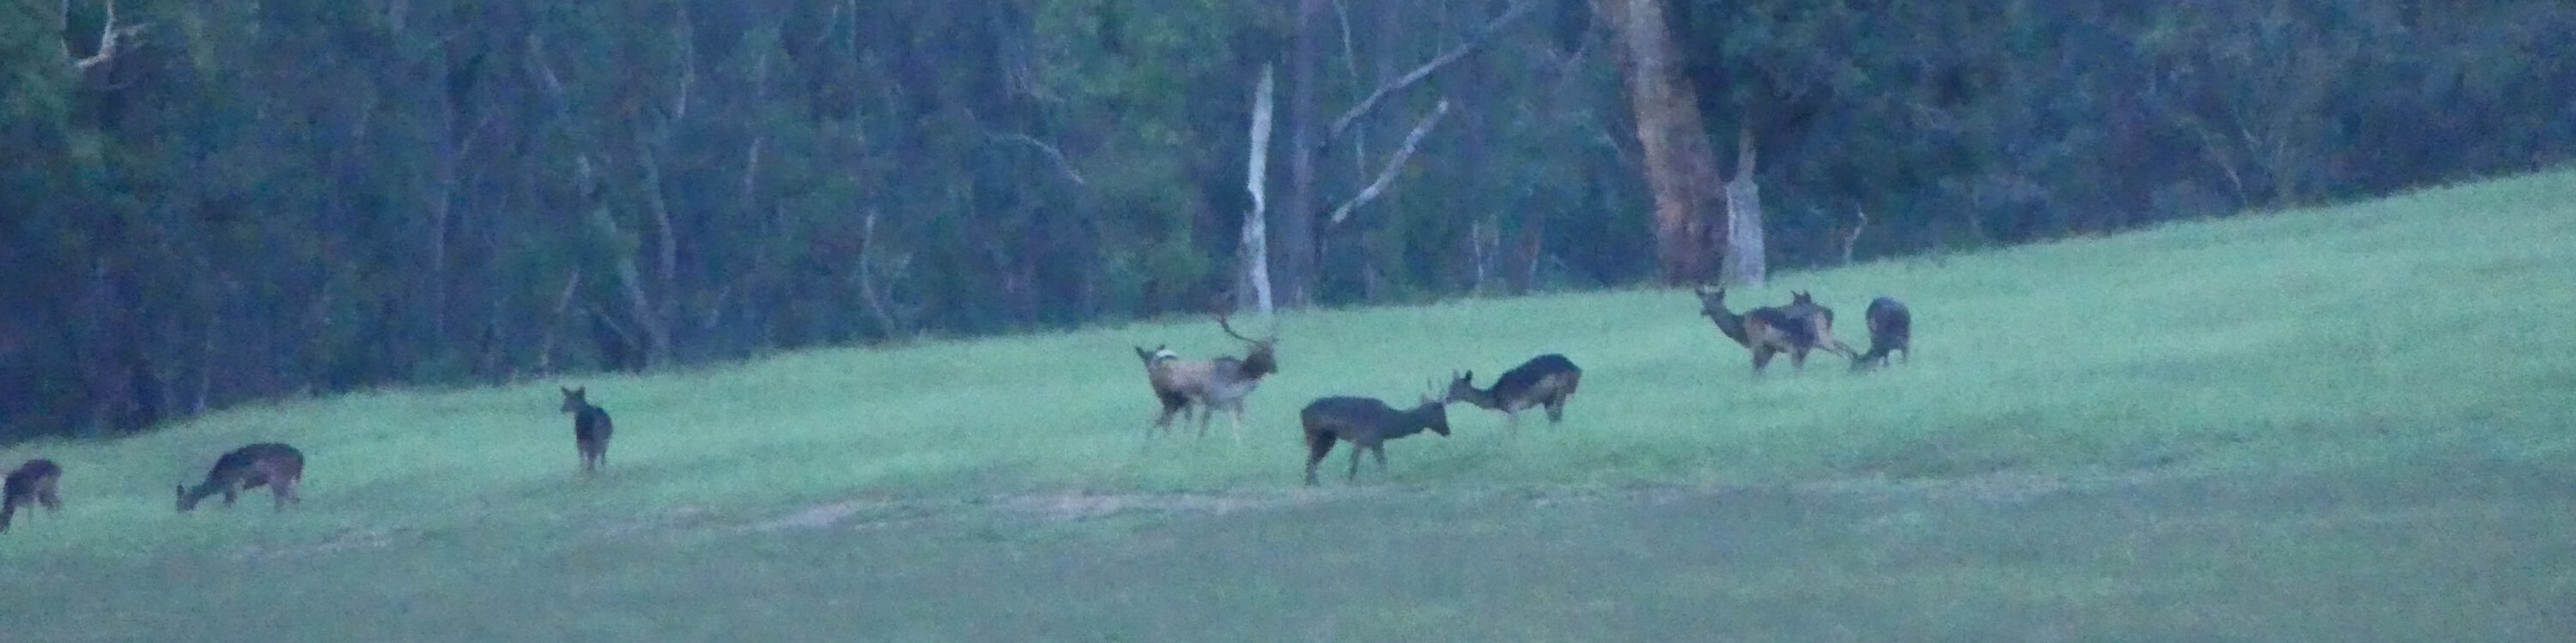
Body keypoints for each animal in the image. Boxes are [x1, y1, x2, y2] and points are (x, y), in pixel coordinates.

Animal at [175, 442, 302, 512]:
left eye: (181, 501)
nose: (179, 511)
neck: (216, 482)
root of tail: (300, 458)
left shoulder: (233, 484)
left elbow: (227, 504)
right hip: (289, 479)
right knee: (294, 499)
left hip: (278, 477)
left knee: (281, 500)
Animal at [1139, 308, 1278, 440]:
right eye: (1263, 353)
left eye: (1273, 351)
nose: (1275, 368)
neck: (1240, 376)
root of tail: (1153, 369)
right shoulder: (1212, 399)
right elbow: (1203, 428)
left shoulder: (1235, 402)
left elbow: (1237, 427)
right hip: (1169, 399)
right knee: (1164, 422)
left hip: (1177, 402)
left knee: (1160, 422)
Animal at [1309, 383, 1453, 483]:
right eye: (1441, 413)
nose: (1448, 431)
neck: (1388, 424)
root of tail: (1304, 410)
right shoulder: (1363, 439)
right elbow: (1356, 464)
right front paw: (1350, 481)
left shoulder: (1376, 442)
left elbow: (1381, 462)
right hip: (1318, 436)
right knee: (1312, 461)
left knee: (1311, 461)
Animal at [1443, 355, 1577, 434]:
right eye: (1450, 386)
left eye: (1457, 388)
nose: (1446, 400)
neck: (1496, 398)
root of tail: (1577, 369)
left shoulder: (1513, 407)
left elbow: (1512, 430)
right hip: (1549, 398)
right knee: (1554, 417)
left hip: (1560, 391)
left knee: (1557, 416)